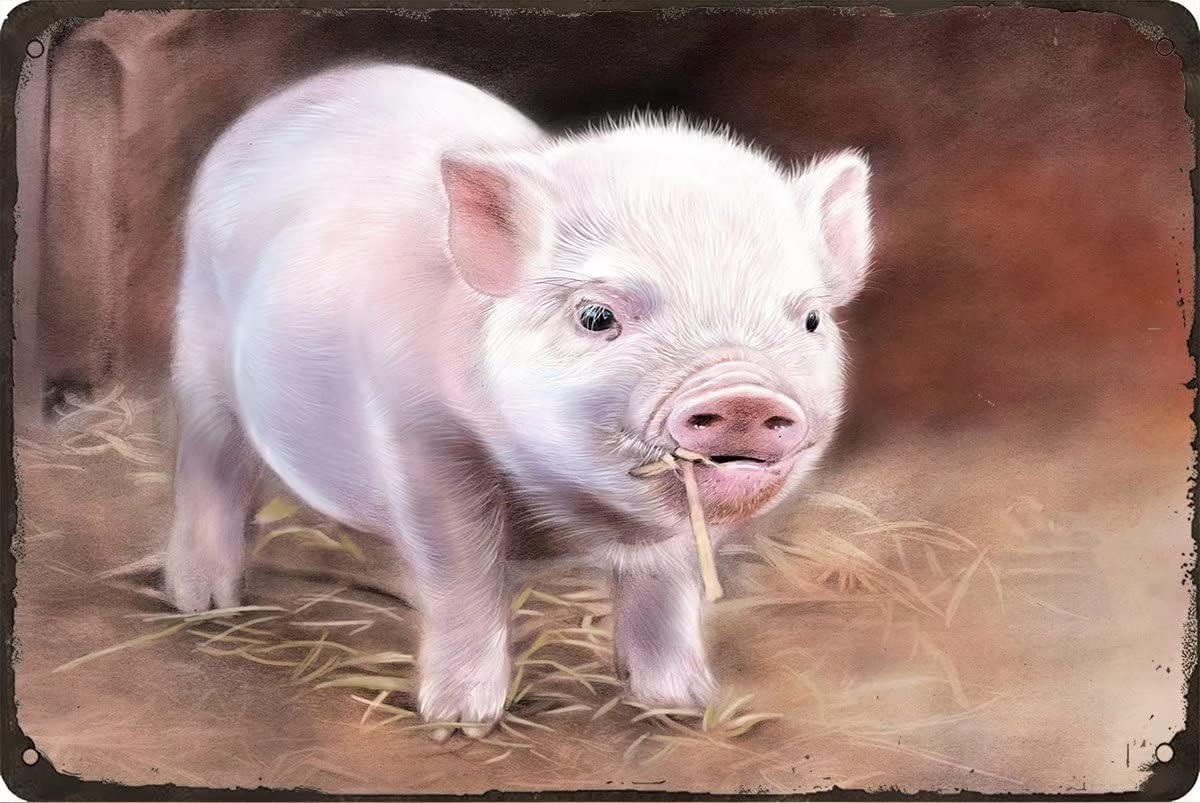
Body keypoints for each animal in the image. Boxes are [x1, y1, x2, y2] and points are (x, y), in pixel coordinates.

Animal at [164, 63, 873, 739]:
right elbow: (462, 574)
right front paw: (459, 723)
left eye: (810, 320)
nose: (743, 393)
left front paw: (681, 706)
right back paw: (203, 602)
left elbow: (667, 589)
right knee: (210, 462)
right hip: (199, 342)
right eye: (596, 316)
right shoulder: (423, 441)